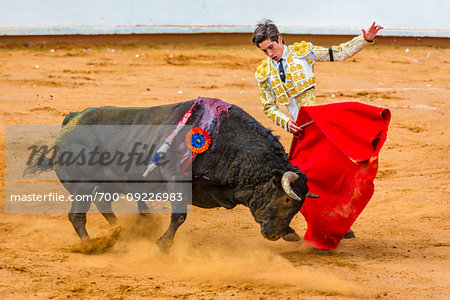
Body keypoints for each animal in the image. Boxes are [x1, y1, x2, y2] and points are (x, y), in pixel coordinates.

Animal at [26, 98, 318, 251]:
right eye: (286, 200)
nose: (277, 235)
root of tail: (72, 118)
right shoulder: (177, 181)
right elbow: (179, 215)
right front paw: (163, 244)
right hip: (83, 186)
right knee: (77, 216)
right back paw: (92, 245)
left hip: (108, 183)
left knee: (103, 204)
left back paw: (122, 231)